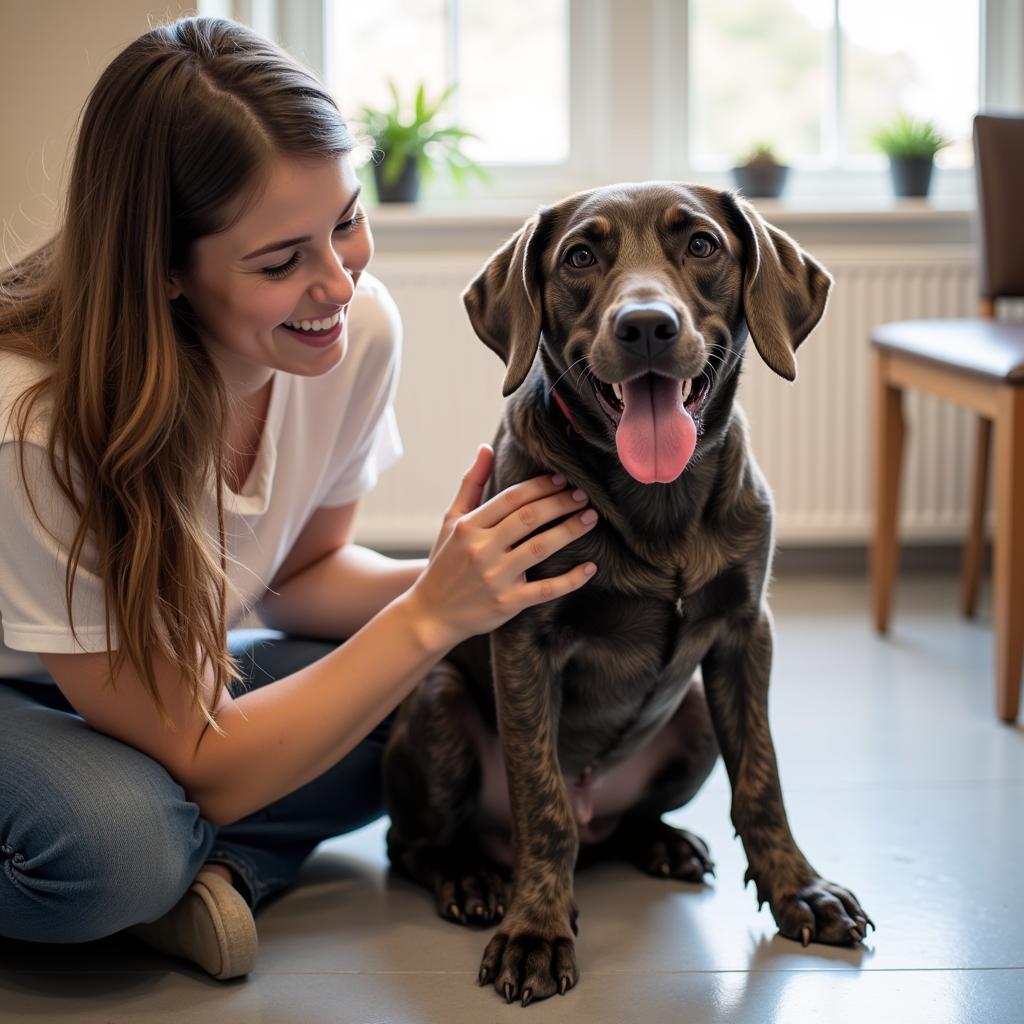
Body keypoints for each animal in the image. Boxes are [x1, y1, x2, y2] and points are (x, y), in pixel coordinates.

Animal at [385, 180, 872, 1003]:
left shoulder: (745, 630)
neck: (658, 503)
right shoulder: (525, 638)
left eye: (702, 245)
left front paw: (799, 890)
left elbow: (762, 778)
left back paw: (663, 842)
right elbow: (541, 797)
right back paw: (471, 878)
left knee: (626, 826)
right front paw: (535, 931)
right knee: (411, 842)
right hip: (439, 705)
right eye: (580, 257)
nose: (646, 325)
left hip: (696, 713)